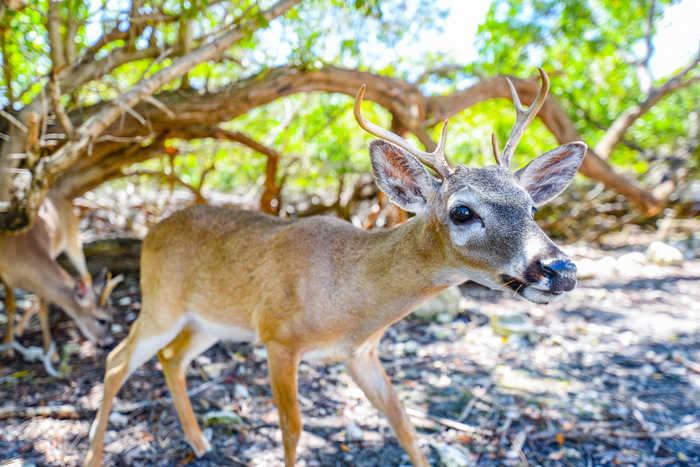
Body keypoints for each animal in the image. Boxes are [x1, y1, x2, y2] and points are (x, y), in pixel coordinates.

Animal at [0, 192, 121, 360]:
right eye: (102, 320)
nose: (108, 344)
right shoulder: (5, 275)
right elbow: (10, 306)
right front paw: (7, 347)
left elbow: (43, 311)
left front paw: (52, 354)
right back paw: (18, 329)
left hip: (73, 240)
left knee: (86, 275)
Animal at [82, 69, 584, 467]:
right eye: (462, 211)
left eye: (532, 207)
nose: (560, 269)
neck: (349, 295)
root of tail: (150, 231)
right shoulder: (279, 337)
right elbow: (293, 429)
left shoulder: (360, 352)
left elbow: (403, 422)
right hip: (161, 301)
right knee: (115, 360)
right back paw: (95, 456)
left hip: (209, 321)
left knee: (171, 359)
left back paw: (200, 442)